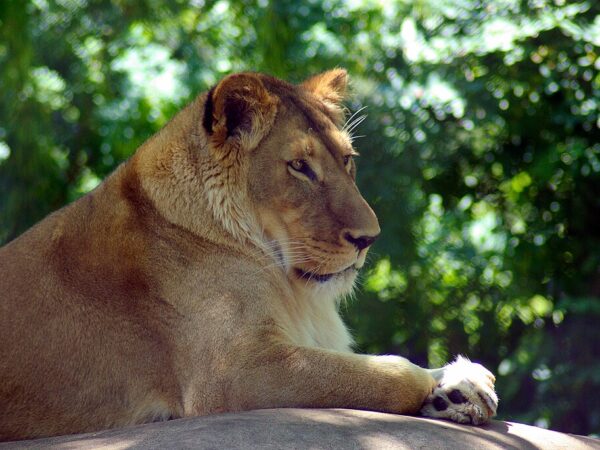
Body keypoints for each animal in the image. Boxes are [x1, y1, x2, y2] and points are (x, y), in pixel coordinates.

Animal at [0, 70, 496, 440]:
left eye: (347, 160)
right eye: (300, 167)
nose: (369, 238)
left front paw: (460, 387)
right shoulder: (232, 373)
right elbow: (387, 374)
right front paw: (444, 387)